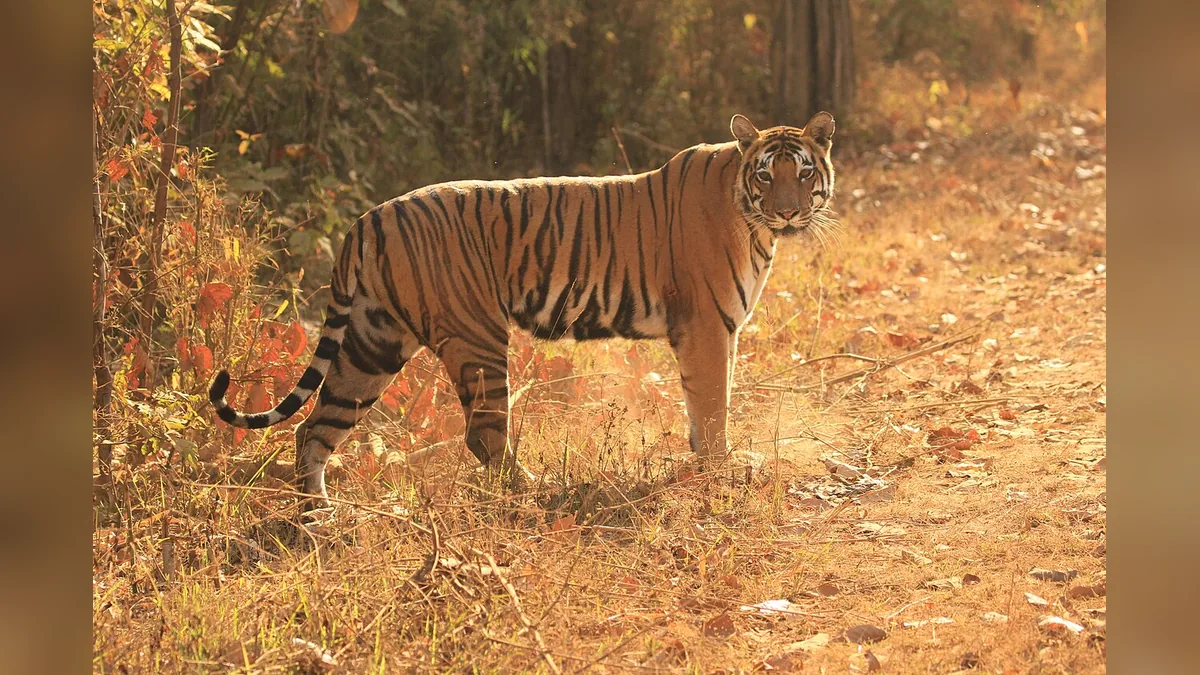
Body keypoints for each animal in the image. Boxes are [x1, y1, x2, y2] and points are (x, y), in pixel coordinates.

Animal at [209, 111, 838, 509]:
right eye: (766, 173)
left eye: (804, 171)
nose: (788, 211)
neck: (751, 215)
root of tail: (368, 218)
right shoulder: (708, 327)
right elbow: (712, 408)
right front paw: (720, 472)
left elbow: (704, 408)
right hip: (477, 337)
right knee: (484, 434)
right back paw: (536, 491)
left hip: (372, 342)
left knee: (314, 427)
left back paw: (319, 519)